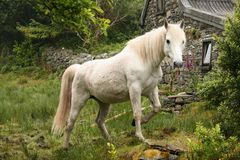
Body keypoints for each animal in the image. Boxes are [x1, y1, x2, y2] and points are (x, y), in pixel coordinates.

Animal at [51, 20, 186, 148]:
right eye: (168, 40)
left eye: (183, 41)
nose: (178, 63)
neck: (144, 59)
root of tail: (78, 68)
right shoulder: (135, 90)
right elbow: (137, 112)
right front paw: (140, 137)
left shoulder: (151, 90)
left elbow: (157, 107)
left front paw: (138, 122)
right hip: (78, 101)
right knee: (69, 123)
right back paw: (65, 147)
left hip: (104, 103)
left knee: (99, 121)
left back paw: (110, 141)